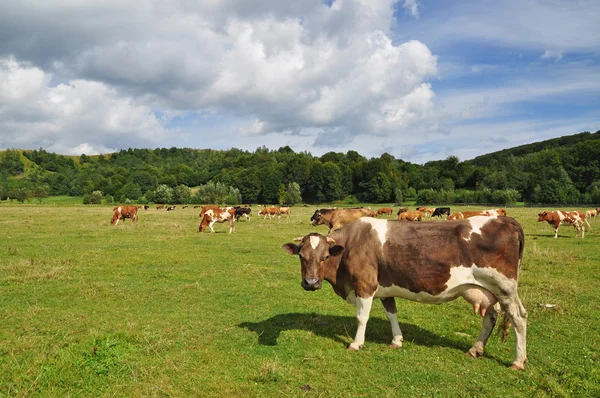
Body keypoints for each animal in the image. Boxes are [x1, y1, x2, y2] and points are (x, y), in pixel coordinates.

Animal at [284, 218, 528, 370]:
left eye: (325, 256)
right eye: (301, 256)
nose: (311, 283)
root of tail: (506, 220)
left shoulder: (365, 285)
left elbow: (362, 317)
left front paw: (356, 343)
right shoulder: (384, 287)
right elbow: (392, 313)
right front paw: (397, 340)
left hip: (505, 288)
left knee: (519, 317)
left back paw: (518, 361)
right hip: (489, 291)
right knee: (491, 316)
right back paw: (476, 349)